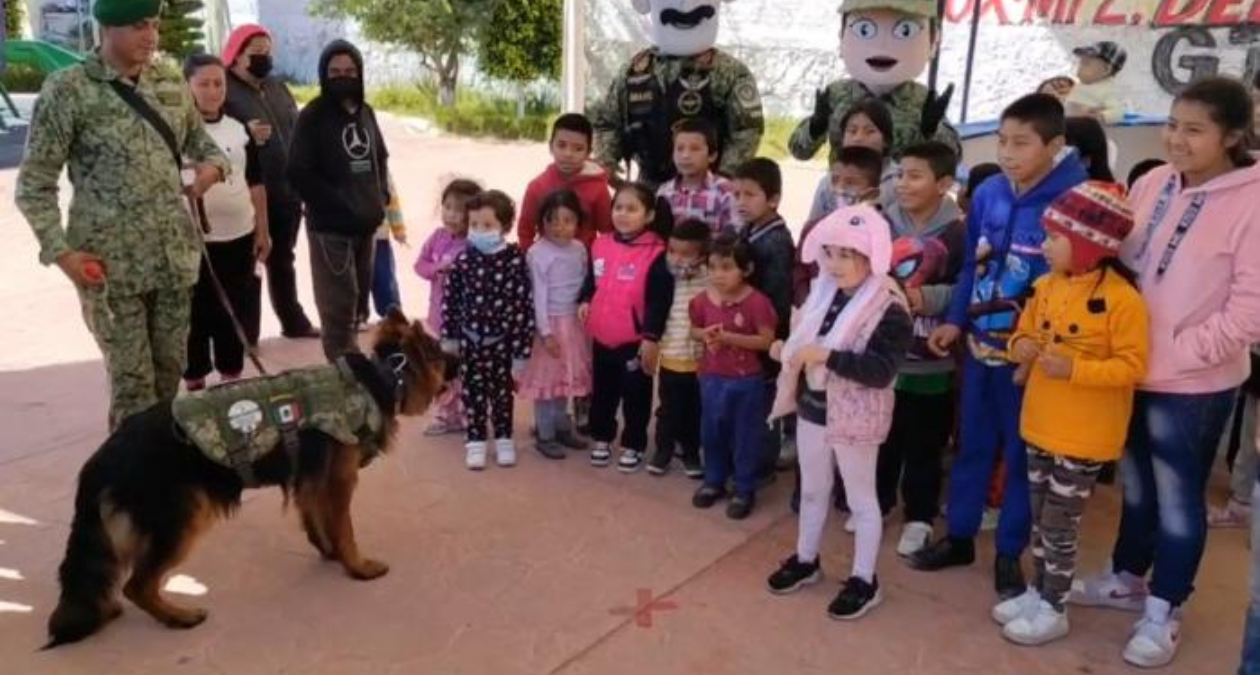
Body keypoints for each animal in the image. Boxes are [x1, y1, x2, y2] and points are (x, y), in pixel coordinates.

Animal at [45, 311, 458, 649]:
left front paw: (329, 553)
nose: (461, 357)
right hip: (184, 518)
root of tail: (104, 455)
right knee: (137, 584)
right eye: (440, 353)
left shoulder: (309, 481)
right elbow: (344, 529)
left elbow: (317, 521)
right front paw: (357, 566)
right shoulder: (339, 483)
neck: (382, 379)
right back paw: (178, 616)